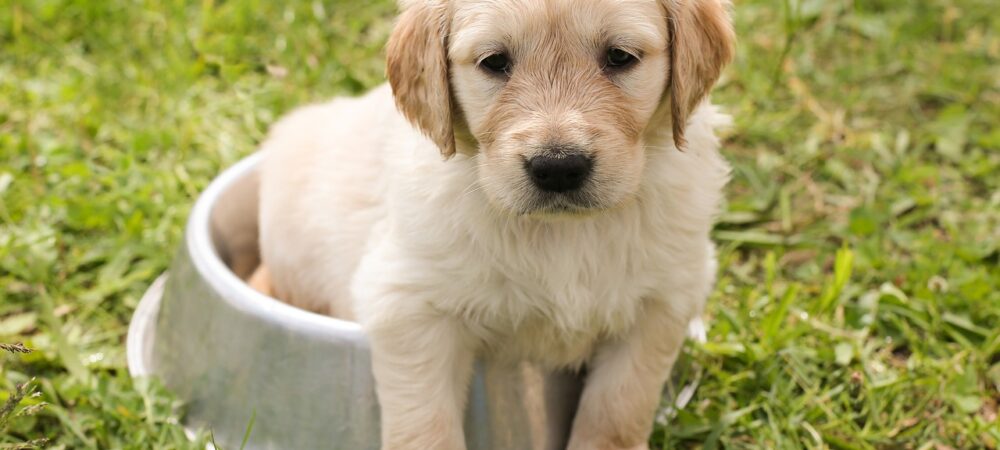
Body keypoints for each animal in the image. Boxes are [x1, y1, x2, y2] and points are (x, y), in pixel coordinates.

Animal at [254, 0, 732, 450]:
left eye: (619, 56)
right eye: (494, 62)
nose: (558, 168)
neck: (563, 231)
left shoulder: (664, 300)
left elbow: (619, 406)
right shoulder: (408, 305)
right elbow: (424, 424)